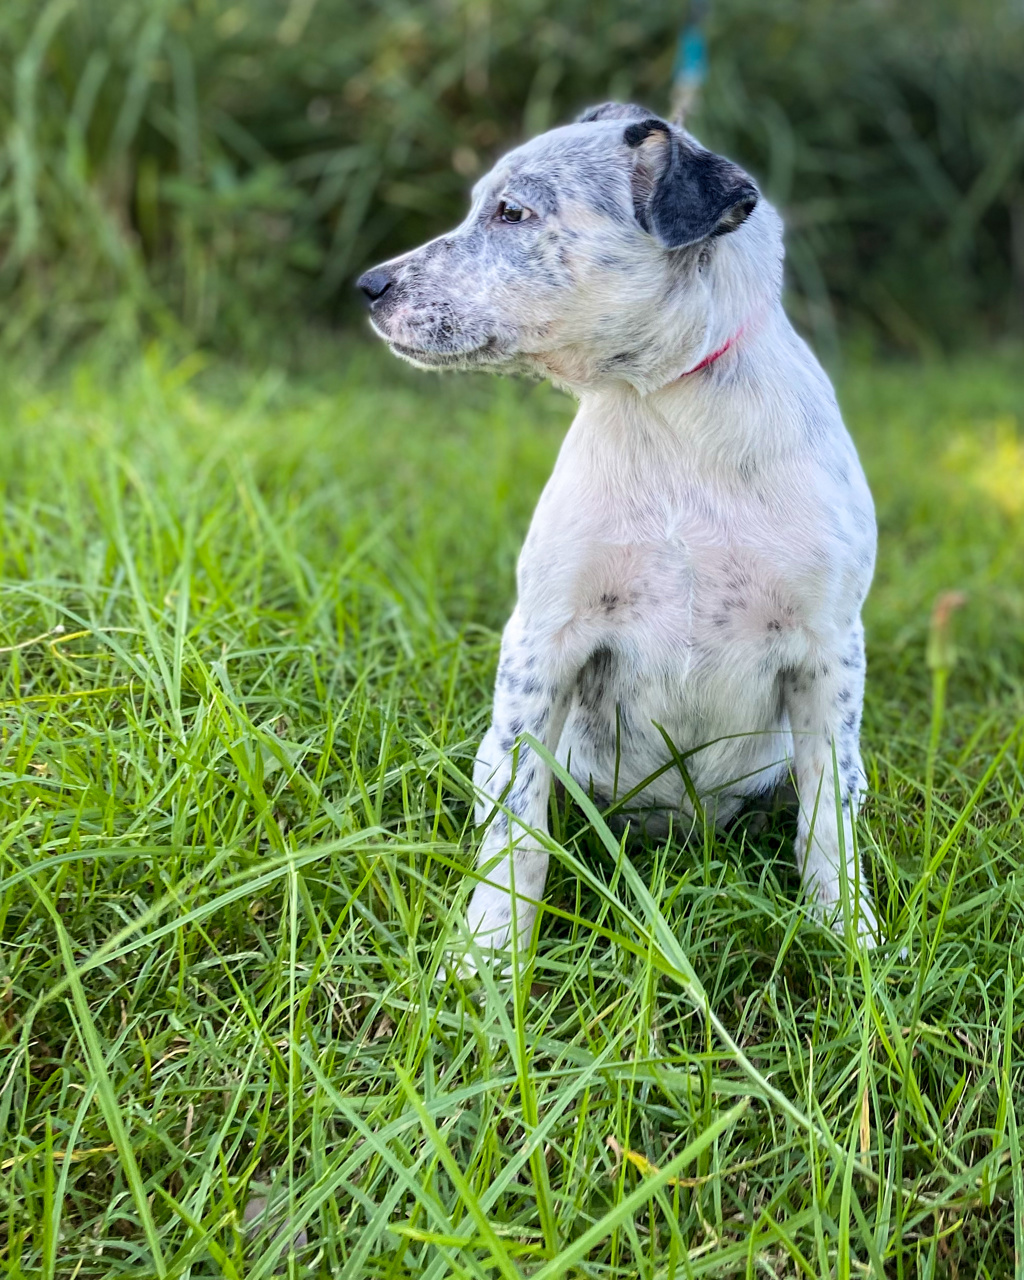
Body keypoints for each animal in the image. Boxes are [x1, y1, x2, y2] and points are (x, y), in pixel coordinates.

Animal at [357, 103, 880, 965]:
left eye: (512, 213)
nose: (368, 286)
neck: (665, 407)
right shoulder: (543, 639)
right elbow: (519, 833)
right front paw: (492, 952)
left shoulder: (828, 650)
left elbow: (826, 821)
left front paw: (850, 940)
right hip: (500, 751)